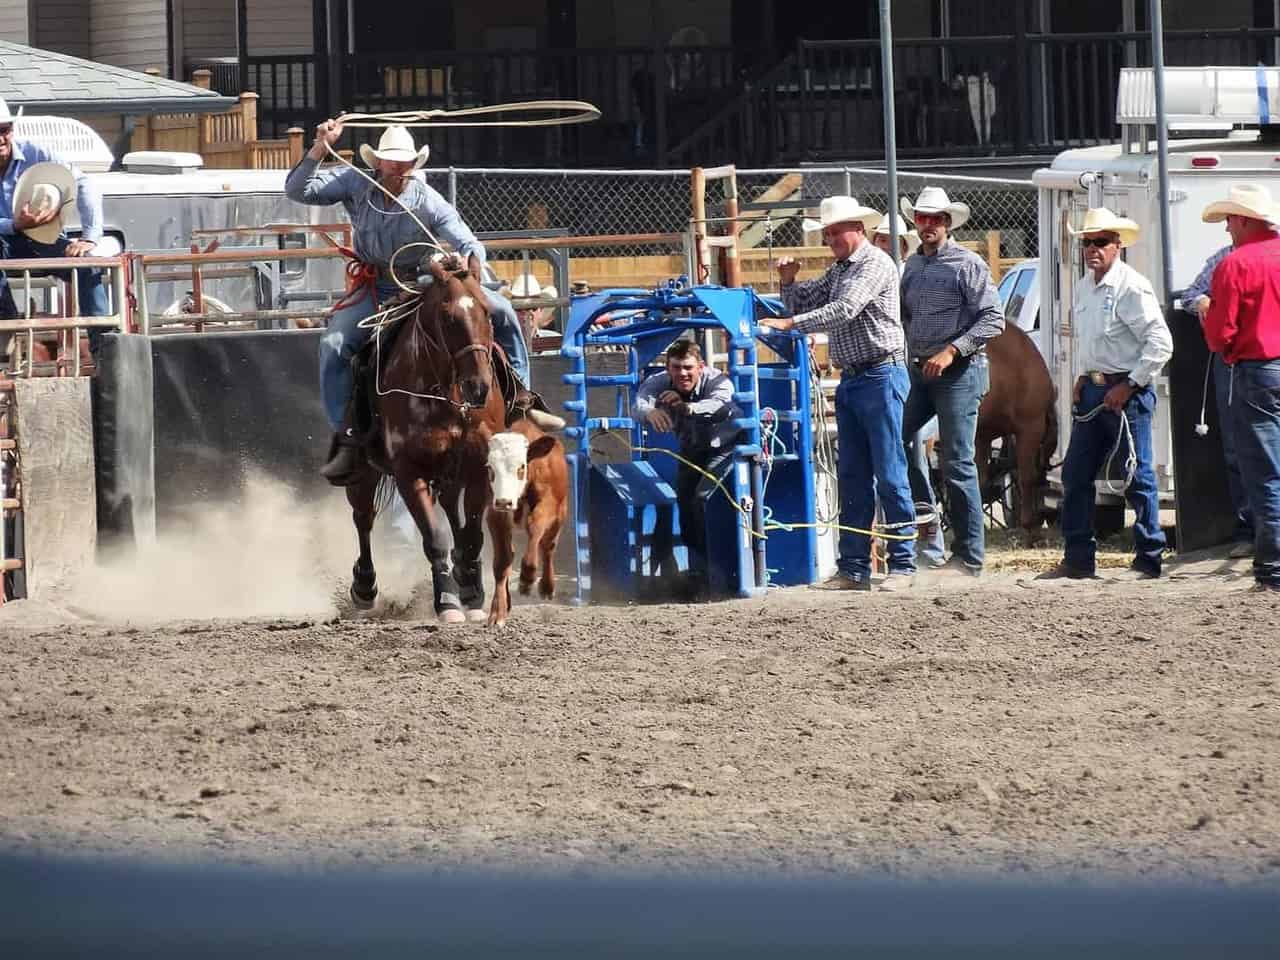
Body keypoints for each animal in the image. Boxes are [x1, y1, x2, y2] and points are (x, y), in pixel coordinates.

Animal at [350, 256, 514, 627]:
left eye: (487, 311)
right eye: (447, 316)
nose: (478, 387)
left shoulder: (479, 468)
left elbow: (472, 535)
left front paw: (471, 590)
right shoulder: (409, 473)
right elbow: (434, 538)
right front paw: (448, 602)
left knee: (454, 513)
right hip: (363, 467)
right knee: (363, 517)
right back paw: (364, 585)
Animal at [483, 417, 570, 627]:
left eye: (521, 467)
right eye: (490, 467)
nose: (504, 502)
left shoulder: (547, 505)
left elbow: (534, 527)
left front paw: (527, 579)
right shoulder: (494, 514)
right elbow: (502, 562)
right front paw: (497, 612)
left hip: (560, 514)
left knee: (548, 546)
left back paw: (546, 587)